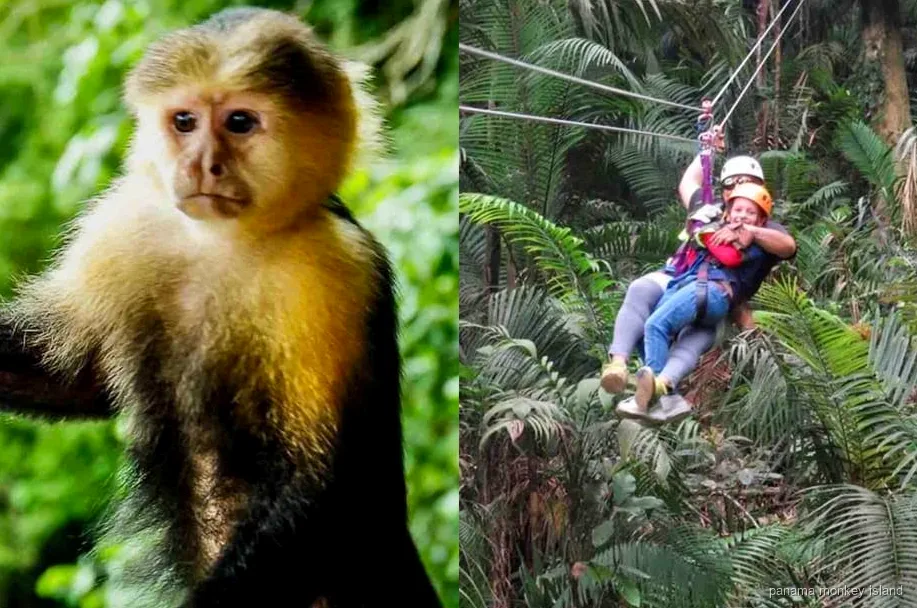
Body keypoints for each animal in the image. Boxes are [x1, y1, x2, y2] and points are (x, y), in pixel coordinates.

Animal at [0, 7, 443, 608]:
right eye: (184, 121)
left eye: (239, 122)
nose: (202, 164)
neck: (224, 243)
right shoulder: (127, 220)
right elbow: (74, 375)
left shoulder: (336, 268)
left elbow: (327, 485)